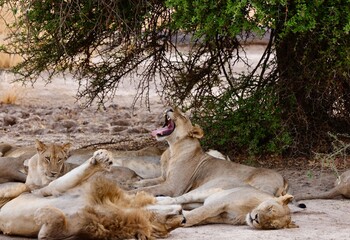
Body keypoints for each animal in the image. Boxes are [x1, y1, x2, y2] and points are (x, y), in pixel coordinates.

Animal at [0, 149, 186, 239]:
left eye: (162, 230)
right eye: (164, 225)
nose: (183, 219)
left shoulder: (71, 232)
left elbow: (57, 220)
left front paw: (42, 214)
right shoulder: (51, 190)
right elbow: (70, 178)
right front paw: (101, 159)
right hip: (18, 188)